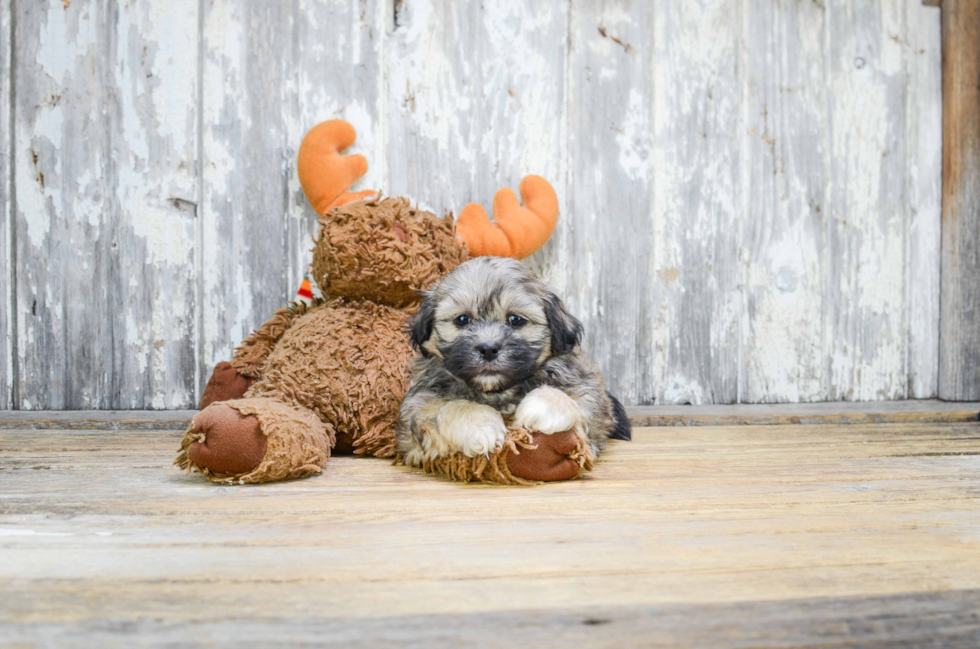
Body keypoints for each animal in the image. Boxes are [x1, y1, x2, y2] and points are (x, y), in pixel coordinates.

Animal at [396, 256, 632, 468]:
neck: (497, 392)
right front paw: (480, 426)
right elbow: (447, 407)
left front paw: (541, 409)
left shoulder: (591, 393)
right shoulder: (417, 408)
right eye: (462, 320)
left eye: (516, 320)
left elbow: (576, 400)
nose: (488, 349)